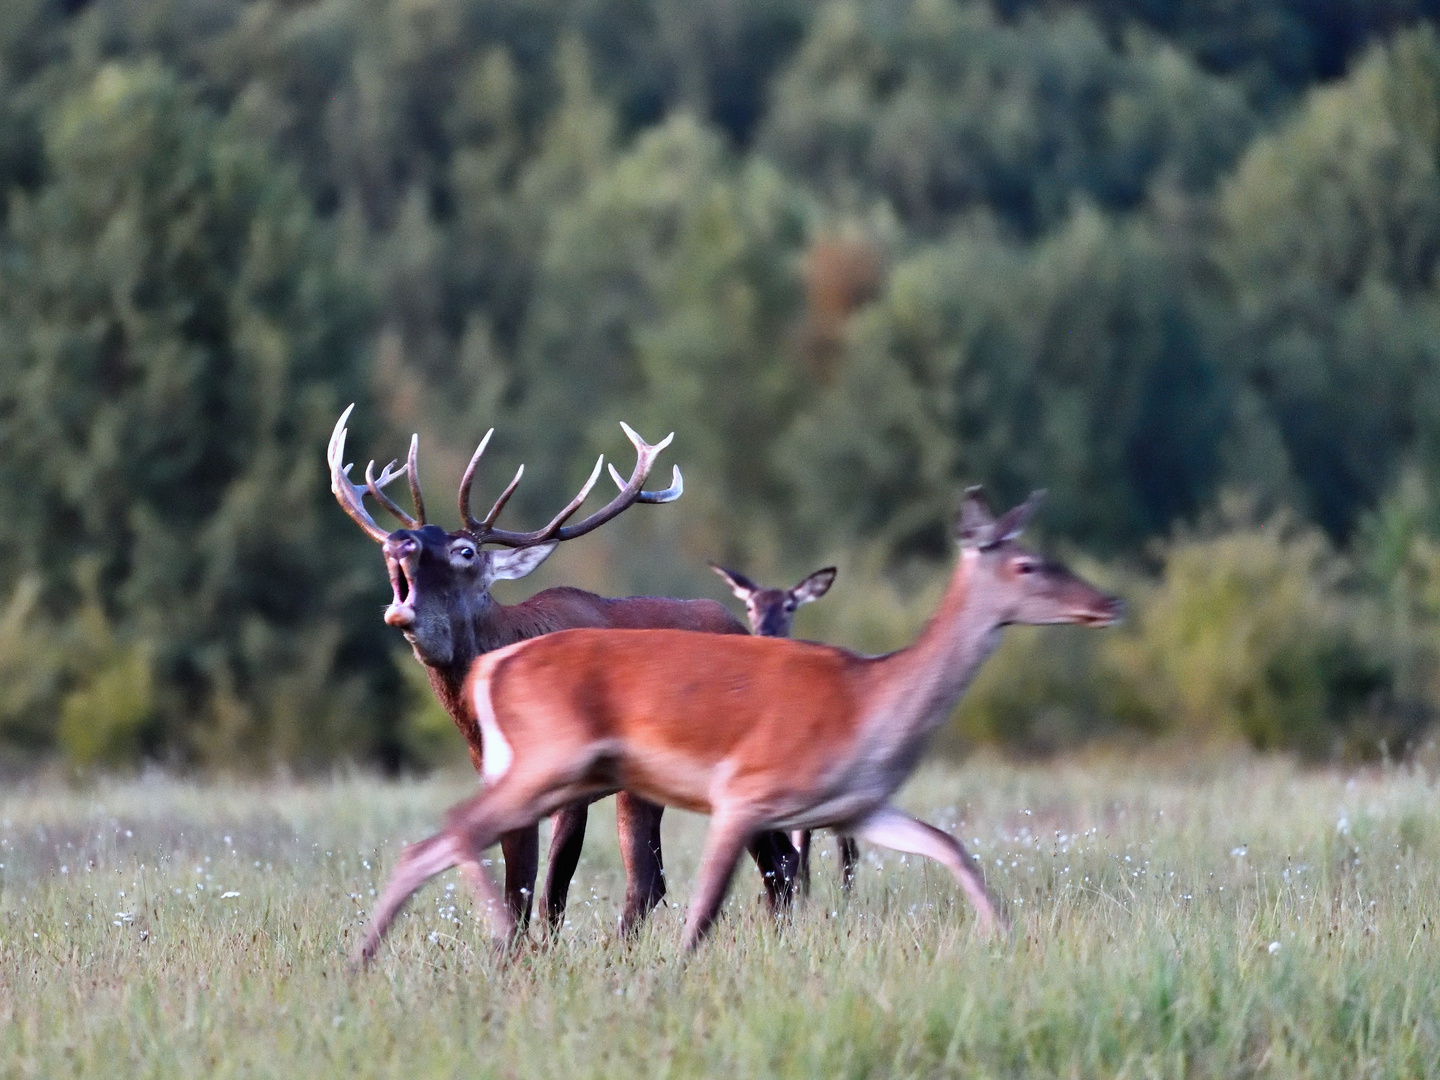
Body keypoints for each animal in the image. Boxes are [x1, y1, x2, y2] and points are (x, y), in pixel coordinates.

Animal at [328, 408, 800, 938]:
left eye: (465, 550)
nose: (398, 541)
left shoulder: (574, 778)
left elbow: (551, 890)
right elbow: (518, 890)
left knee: (759, 863)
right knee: (677, 876)